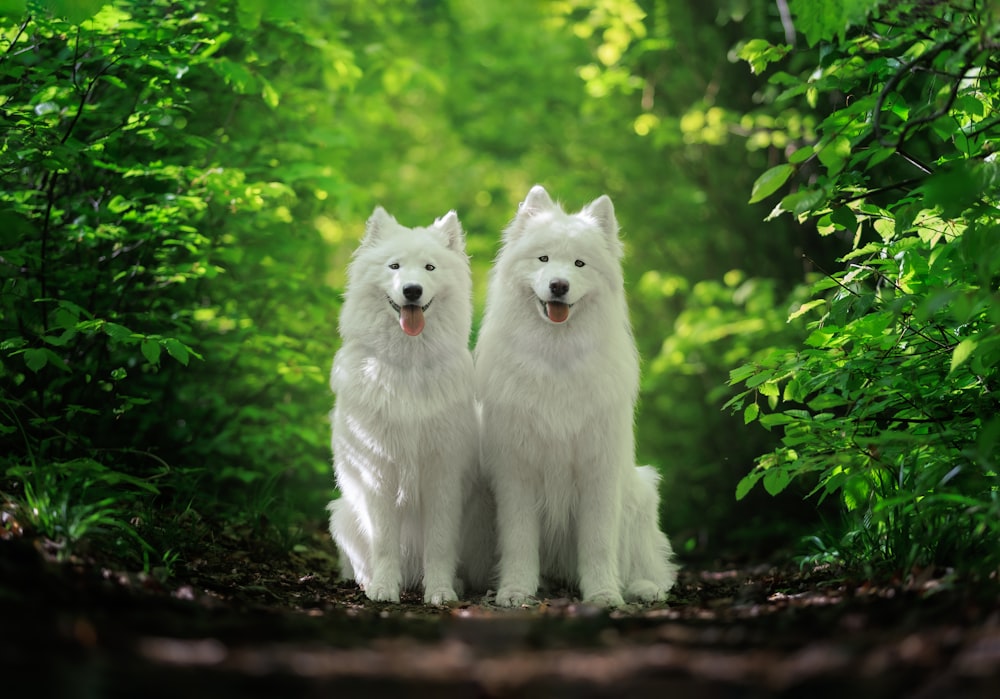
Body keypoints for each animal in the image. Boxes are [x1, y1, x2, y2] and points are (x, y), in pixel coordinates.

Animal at [326, 205, 478, 604]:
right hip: (342, 513)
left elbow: (439, 544)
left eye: (429, 268)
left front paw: (439, 591)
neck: (409, 365)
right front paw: (383, 587)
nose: (412, 290)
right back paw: (367, 581)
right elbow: (383, 543)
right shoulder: (377, 470)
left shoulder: (443, 473)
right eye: (394, 266)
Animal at [476, 185, 680, 608]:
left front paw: (604, 594)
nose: (559, 285)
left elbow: (599, 544)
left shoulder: (598, 469)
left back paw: (642, 587)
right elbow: (519, 542)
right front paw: (515, 591)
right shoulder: (516, 472)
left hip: (640, 494)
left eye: (580, 264)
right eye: (543, 258)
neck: (557, 358)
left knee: (651, 565)